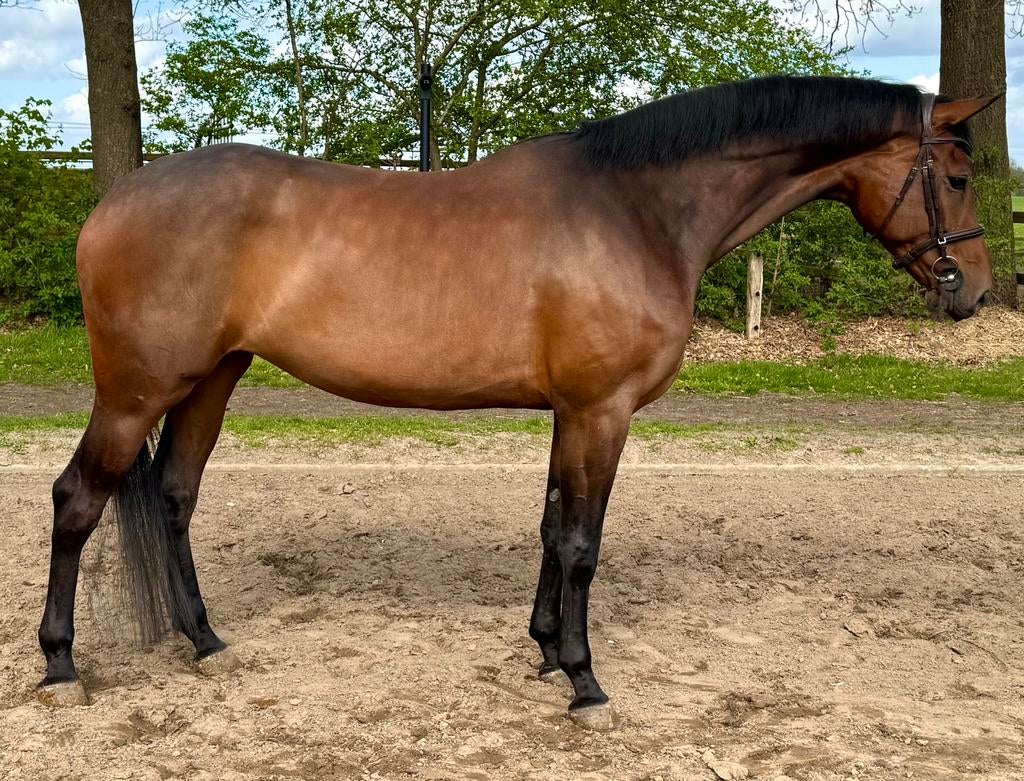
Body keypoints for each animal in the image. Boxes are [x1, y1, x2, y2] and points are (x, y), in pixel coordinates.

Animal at [36, 76, 998, 729]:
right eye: (956, 176)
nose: (977, 293)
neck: (636, 209)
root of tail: (112, 202)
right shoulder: (602, 411)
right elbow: (581, 544)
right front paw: (583, 678)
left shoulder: (571, 413)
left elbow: (549, 527)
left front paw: (540, 650)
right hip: (135, 392)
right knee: (78, 499)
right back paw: (61, 665)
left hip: (214, 377)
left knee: (172, 496)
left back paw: (203, 640)